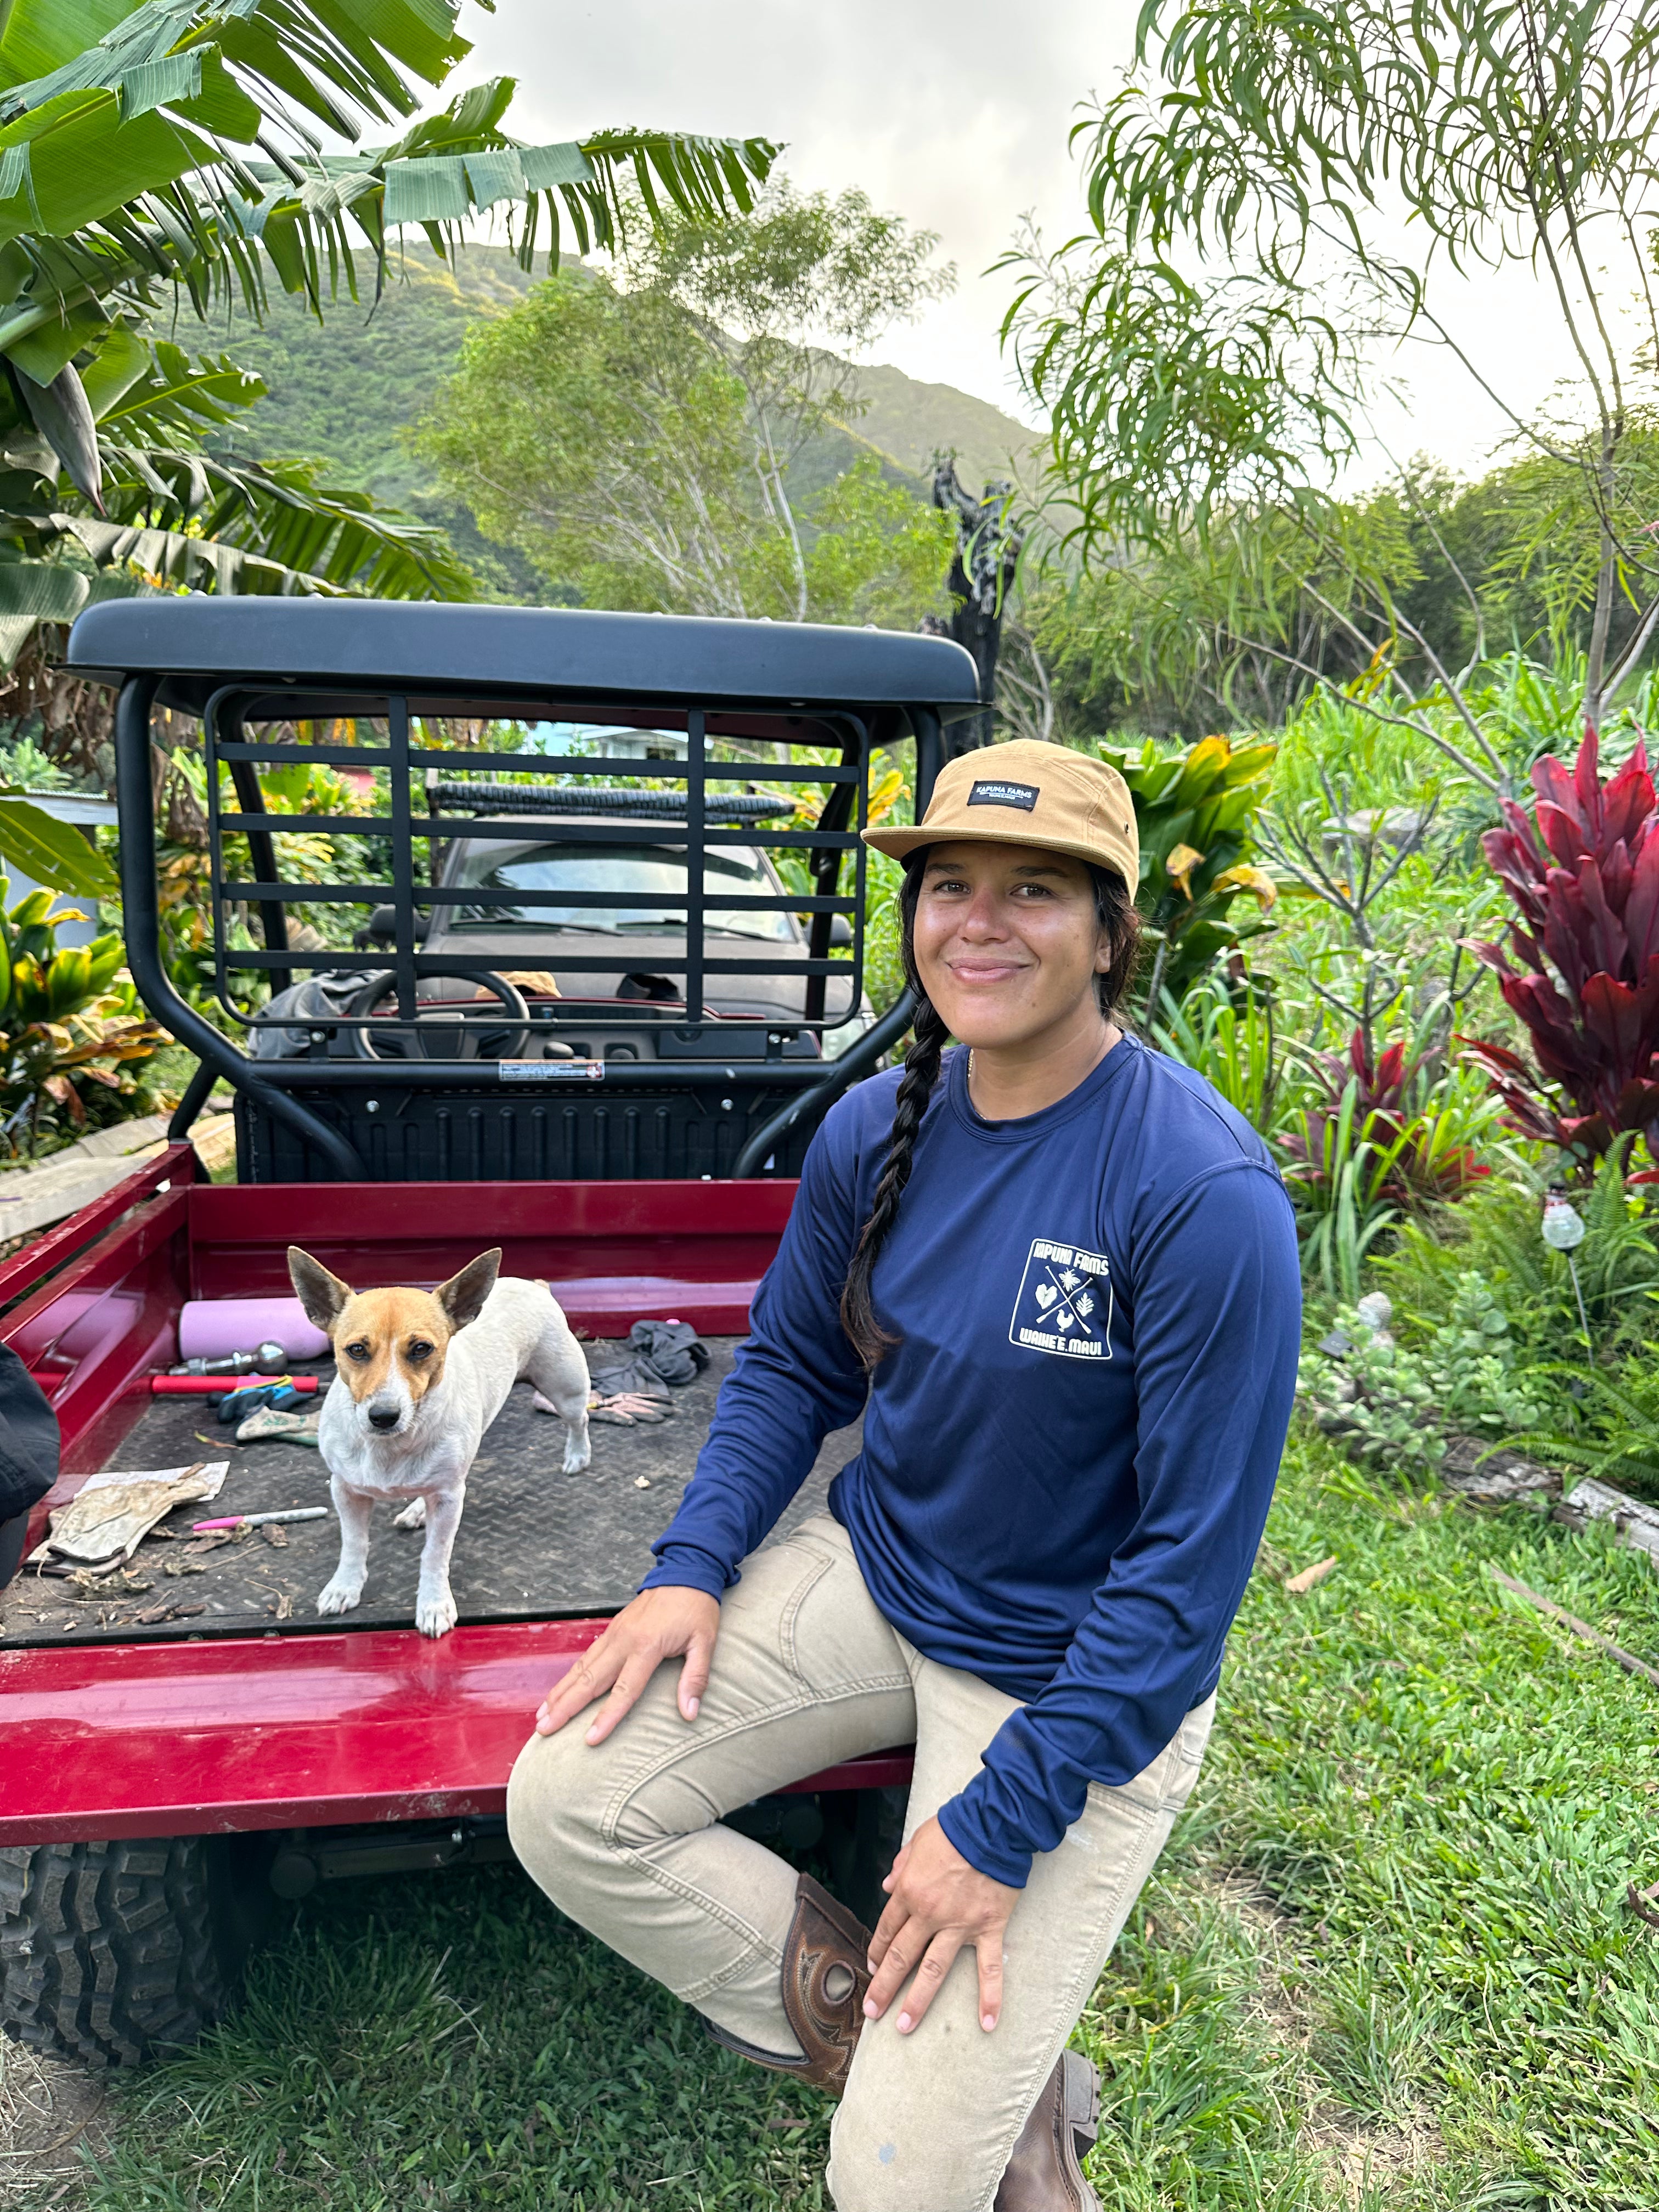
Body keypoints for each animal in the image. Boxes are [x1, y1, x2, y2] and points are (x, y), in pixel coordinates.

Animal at [290, 1256, 592, 1637]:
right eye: (357, 1350)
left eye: (422, 1349)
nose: (383, 1416)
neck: (391, 1447)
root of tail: (533, 1285)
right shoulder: (346, 1491)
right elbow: (354, 1543)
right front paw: (345, 1587)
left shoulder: (449, 1500)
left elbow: (435, 1554)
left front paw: (433, 1604)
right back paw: (418, 1510)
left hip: (565, 1388)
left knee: (580, 1418)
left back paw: (578, 1456)